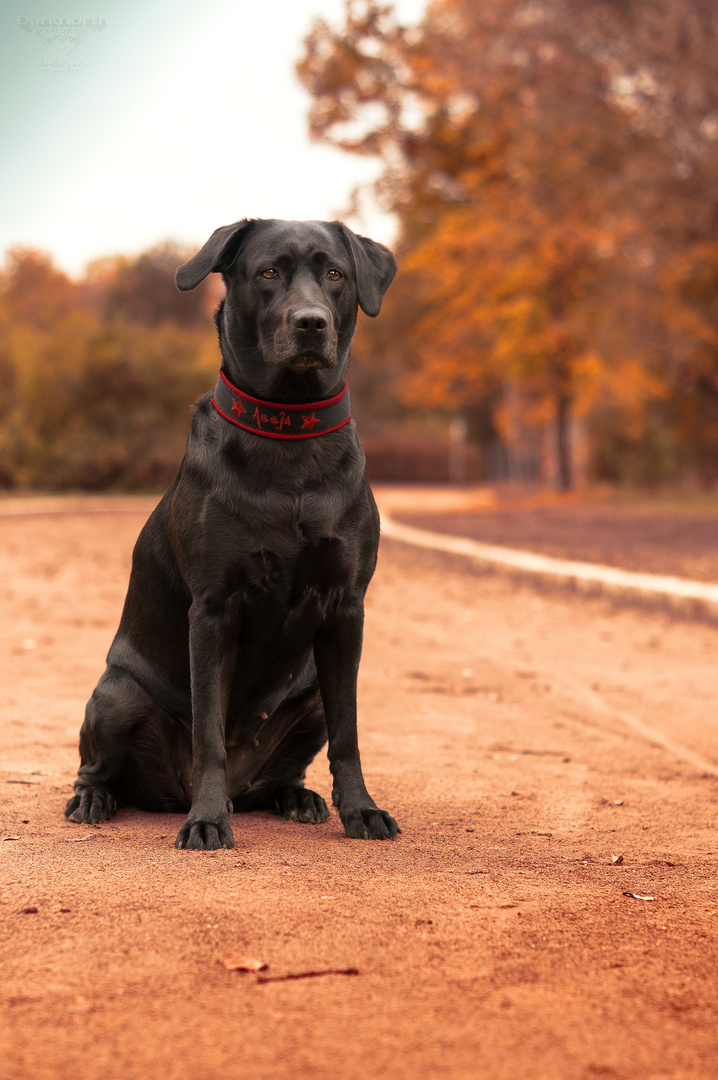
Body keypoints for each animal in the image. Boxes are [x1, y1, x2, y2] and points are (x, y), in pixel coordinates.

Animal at [62, 214, 397, 846]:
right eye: (267, 273)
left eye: (335, 275)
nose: (311, 323)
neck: (290, 431)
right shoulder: (214, 608)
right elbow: (209, 730)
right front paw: (208, 819)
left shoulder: (347, 609)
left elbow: (349, 733)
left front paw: (361, 810)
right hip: (117, 693)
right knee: (100, 767)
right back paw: (100, 800)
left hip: (310, 693)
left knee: (284, 771)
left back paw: (296, 797)